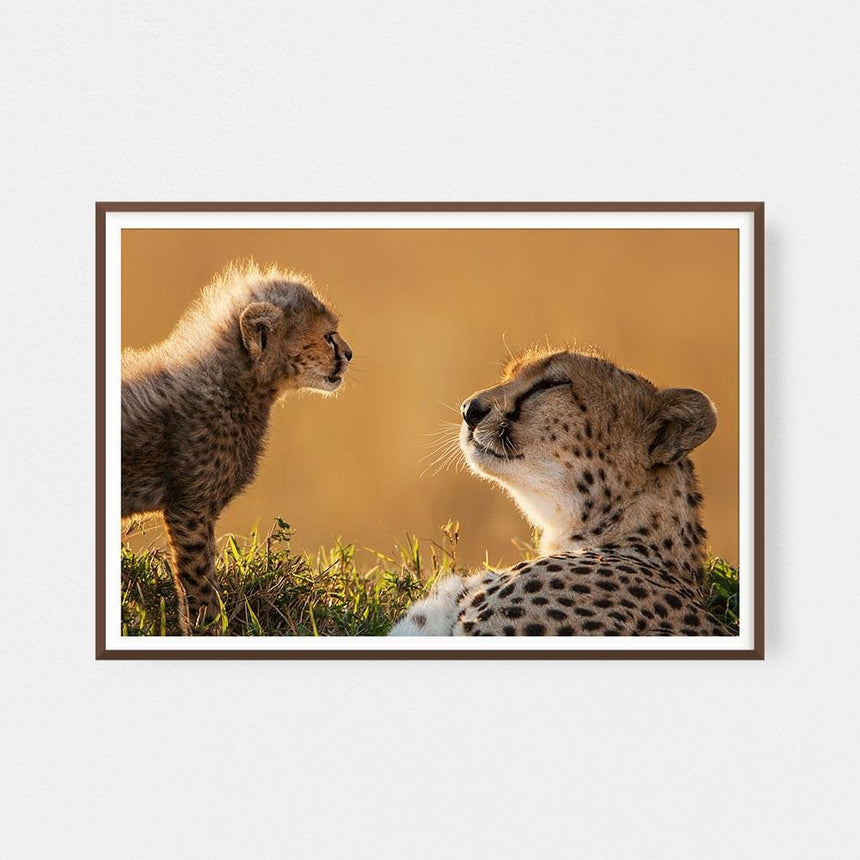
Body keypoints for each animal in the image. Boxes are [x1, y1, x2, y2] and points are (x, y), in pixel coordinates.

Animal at [122, 262, 352, 635]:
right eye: (328, 335)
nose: (349, 354)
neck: (235, 381)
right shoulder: (190, 507)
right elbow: (199, 584)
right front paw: (207, 629)